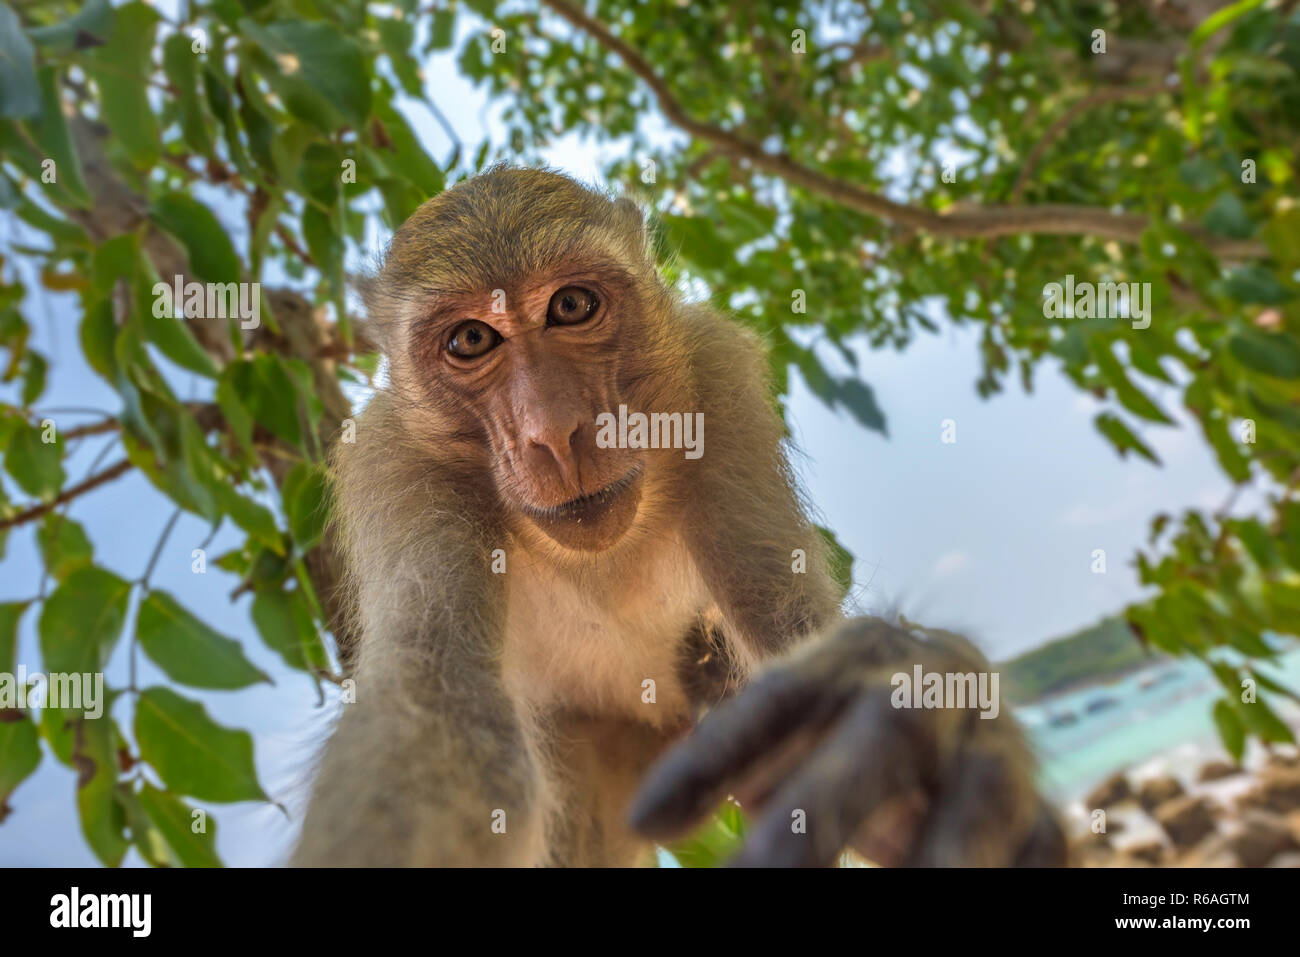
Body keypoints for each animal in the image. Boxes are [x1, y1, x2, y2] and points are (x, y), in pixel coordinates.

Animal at [291, 166, 1065, 867]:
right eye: (471, 341)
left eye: (571, 305)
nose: (554, 432)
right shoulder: (396, 465)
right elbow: (443, 709)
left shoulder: (715, 379)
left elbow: (784, 621)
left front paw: (919, 703)